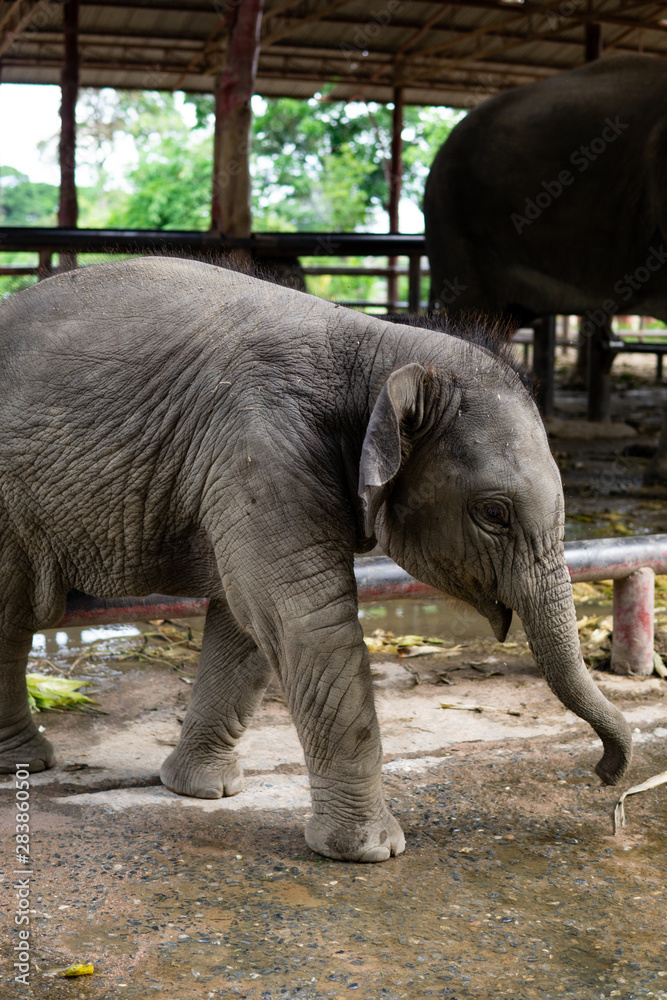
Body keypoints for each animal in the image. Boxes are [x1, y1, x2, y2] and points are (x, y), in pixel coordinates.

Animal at [0, 257, 631, 862]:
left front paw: (202, 792)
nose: (606, 777)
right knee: (9, 615)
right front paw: (372, 852)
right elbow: (304, 619)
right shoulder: (261, 450)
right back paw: (23, 765)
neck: (377, 344)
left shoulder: (240, 470)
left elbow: (247, 622)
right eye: (494, 513)